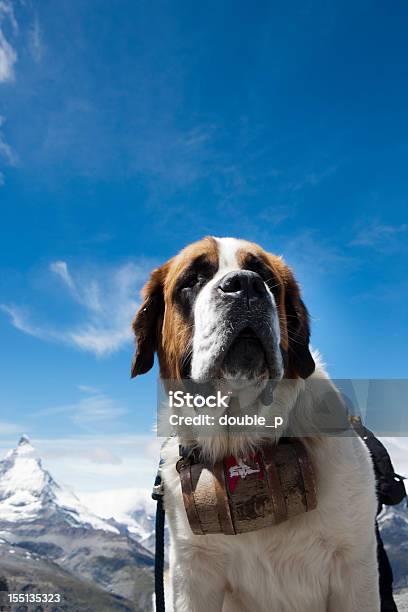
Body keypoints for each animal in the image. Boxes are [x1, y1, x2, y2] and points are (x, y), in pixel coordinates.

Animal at [131, 237, 380, 608]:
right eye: (192, 279)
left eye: (265, 276)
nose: (245, 284)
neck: (240, 441)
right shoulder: (192, 573)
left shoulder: (354, 566)